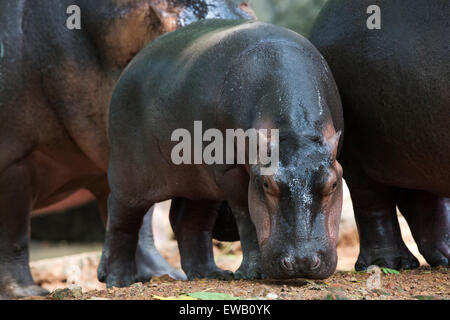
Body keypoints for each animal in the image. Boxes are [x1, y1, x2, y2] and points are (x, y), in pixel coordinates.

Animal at [0, 1, 253, 298]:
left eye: (247, 8)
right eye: (161, 14)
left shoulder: (122, 160)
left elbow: (137, 222)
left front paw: (162, 275)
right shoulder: (14, 160)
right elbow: (14, 230)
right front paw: (27, 291)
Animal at [99, 18, 344, 286]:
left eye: (333, 183)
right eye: (267, 184)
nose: (301, 262)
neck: (292, 131)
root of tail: (132, 64)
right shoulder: (231, 171)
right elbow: (246, 216)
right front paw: (253, 273)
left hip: (199, 180)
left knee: (189, 220)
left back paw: (211, 273)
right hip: (128, 175)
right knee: (121, 219)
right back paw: (119, 280)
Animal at [310, 0, 450, 268]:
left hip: (413, 147)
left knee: (423, 200)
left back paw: (445, 256)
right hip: (358, 158)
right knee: (373, 204)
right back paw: (390, 262)